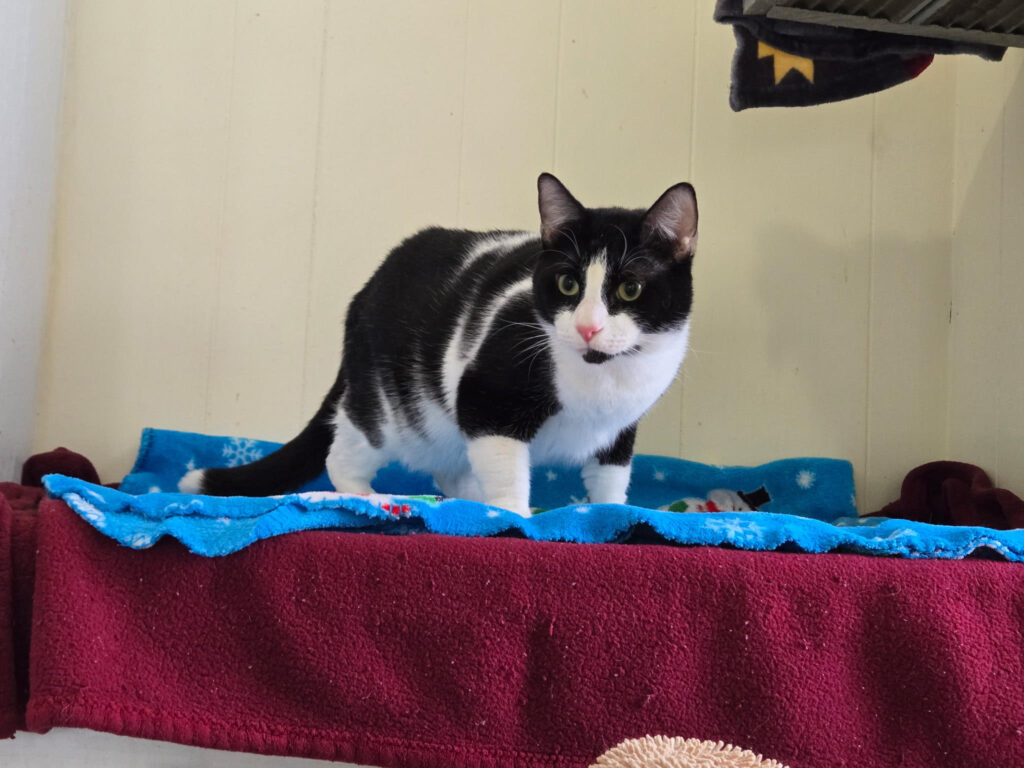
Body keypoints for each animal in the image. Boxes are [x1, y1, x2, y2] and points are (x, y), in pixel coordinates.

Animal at [180, 174, 700, 518]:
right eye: (568, 284)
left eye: (629, 289)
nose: (589, 328)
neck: (601, 377)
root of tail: (365, 290)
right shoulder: (487, 398)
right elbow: (507, 471)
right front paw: (513, 517)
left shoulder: (620, 428)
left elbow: (611, 478)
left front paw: (612, 513)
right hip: (392, 405)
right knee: (345, 447)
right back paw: (366, 496)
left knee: (449, 467)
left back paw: (466, 497)